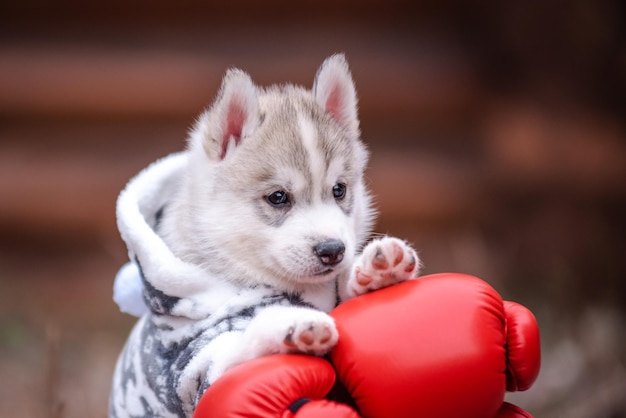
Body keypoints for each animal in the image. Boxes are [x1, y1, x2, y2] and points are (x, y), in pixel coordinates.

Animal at [111, 54, 420, 416]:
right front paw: (291, 325)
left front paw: (375, 268)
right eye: (278, 197)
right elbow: (239, 348)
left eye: (339, 189)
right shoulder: (192, 365)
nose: (333, 249)